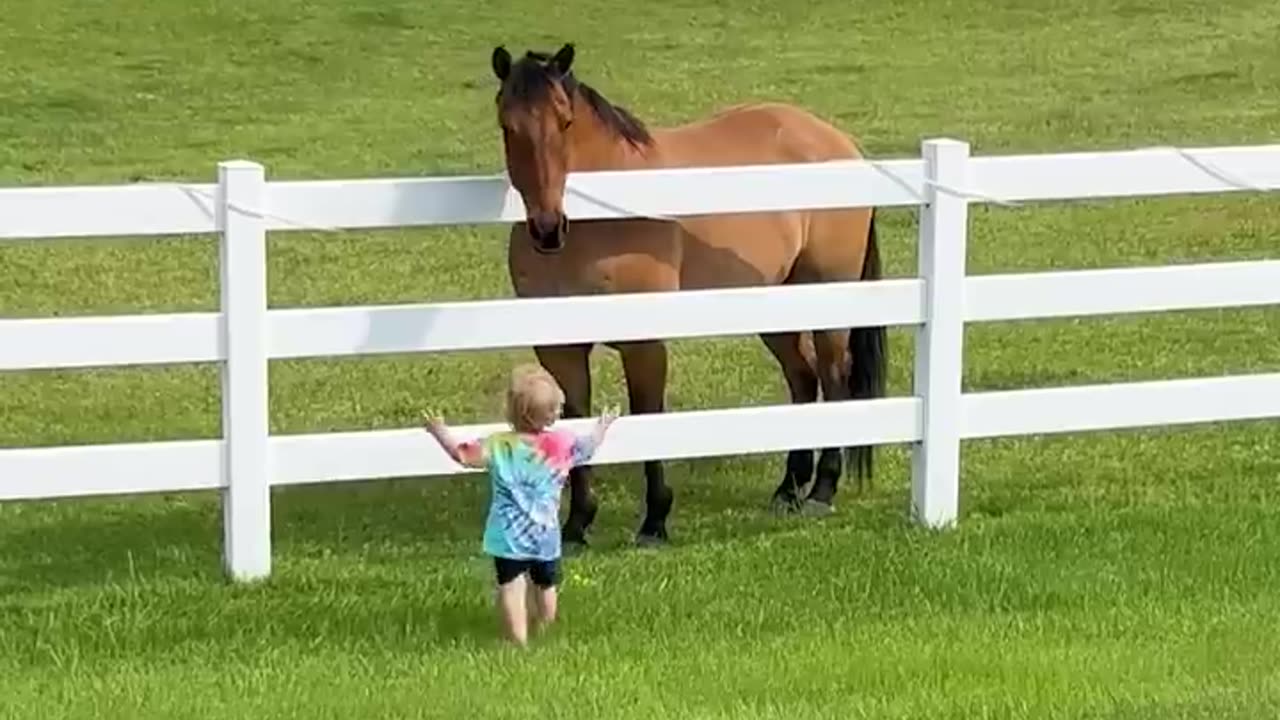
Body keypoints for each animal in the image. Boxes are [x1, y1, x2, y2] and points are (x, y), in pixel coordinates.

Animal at [483, 41, 885, 545]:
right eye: (506, 124)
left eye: (565, 121)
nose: (547, 228)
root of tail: (839, 144)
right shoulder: (560, 349)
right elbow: (574, 422)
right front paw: (577, 524)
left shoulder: (644, 344)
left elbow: (649, 419)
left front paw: (655, 520)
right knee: (803, 379)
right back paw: (788, 489)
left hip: (827, 302)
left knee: (832, 381)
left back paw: (821, 490)